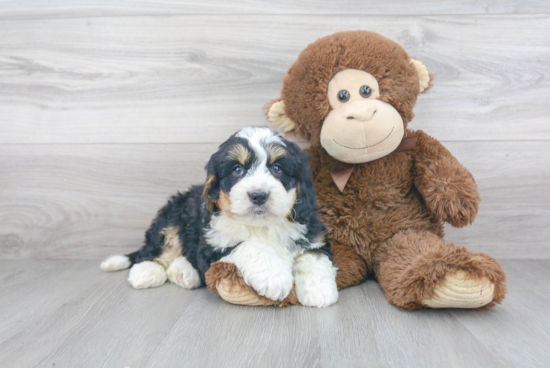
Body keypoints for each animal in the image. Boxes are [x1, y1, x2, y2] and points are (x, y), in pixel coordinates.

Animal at [101, 126, 338, 308]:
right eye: (237, 170)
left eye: (277, 168)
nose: (258, 195)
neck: (261, 226)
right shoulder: (211, 245)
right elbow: (248, 246)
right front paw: (275, 277)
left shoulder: (311, 230)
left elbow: (313, 255)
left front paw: (319, 290)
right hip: (172, 215)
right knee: (155, 248)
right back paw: (146, 271)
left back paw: (185, 273)